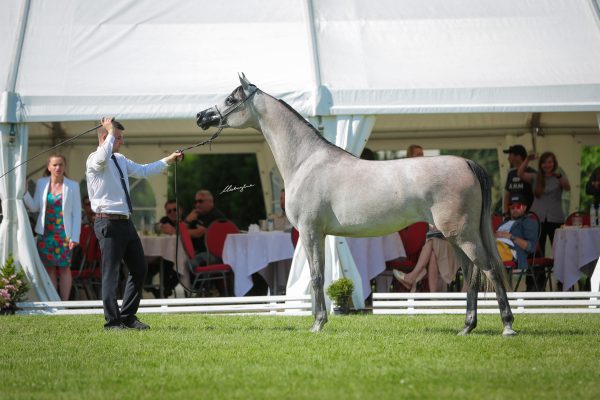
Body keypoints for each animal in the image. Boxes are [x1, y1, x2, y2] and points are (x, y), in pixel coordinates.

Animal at [196, 73, 516, 336]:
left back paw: (507, 326)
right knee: (471, 274)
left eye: (230, 99)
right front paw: (320, 320)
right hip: (455, 237)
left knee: (489, 270)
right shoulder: (320, 234)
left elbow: (316, 277)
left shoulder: (310, 232)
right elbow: (319, 275)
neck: (306, 161)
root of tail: (466, 163)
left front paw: (317, 324)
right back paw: (467, 327)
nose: (201, 116)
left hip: (462, 235)